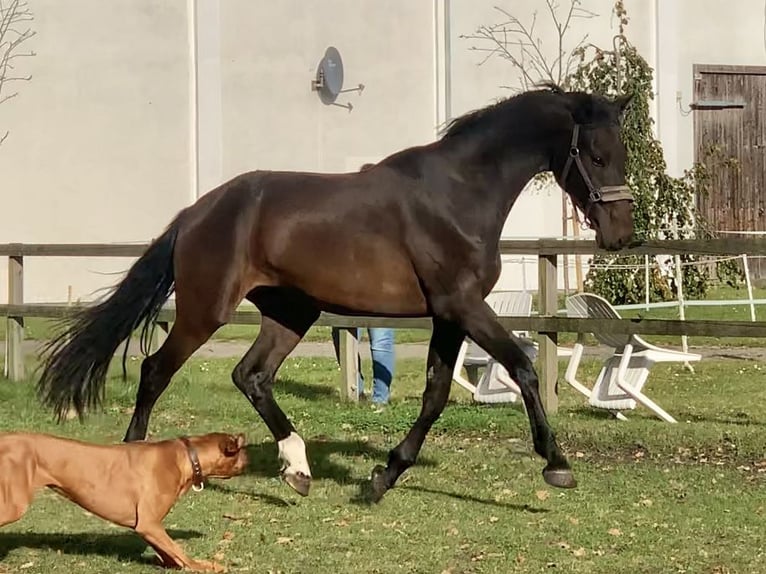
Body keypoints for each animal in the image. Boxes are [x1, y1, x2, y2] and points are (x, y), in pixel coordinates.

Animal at [0, 434, 248, 572]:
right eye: (242, 450)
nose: (249, 458)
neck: (188, 456)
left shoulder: (147, 527)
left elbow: (169, 552)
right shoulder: (149, 523)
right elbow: (180, 551)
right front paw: (204, 566)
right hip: (14, 505)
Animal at [36, 84, 636, 504]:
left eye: (624, 153)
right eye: (596, 155)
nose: (620, 235)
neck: (459, 193)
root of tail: (195, 212)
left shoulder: (448, 315)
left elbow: (436, 394)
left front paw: (381, 478)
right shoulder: (464, 305)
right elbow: (523, 367)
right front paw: (556, 463)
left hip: (290, 312)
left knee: (251, 375)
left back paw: (298, 469)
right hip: (205, 310)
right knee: (156, 370)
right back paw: (140, 456)